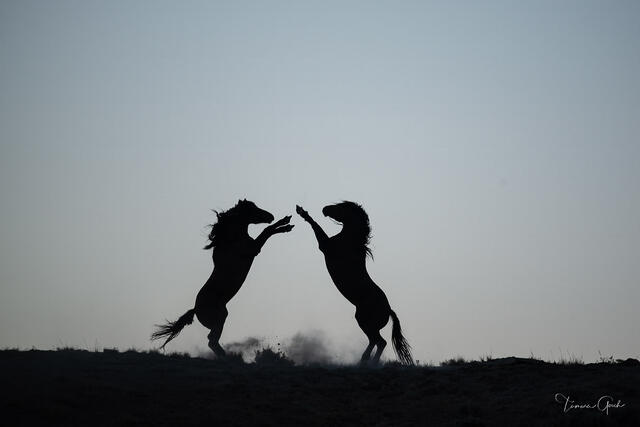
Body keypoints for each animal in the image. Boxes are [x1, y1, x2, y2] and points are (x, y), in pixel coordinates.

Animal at [151, 199, 294, 357]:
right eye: (252, 208)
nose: (271, 216)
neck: (231, 238)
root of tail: (195, 309)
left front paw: (286, 221)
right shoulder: (254, 248)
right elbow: (267, 231)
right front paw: (286, 226)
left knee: (212, 340)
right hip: (220, 318)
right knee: (211, 340)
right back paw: (228, 357)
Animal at [296, 201, 414, 365]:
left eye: (342, 207)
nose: (325, 209)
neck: (350, 240)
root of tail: (389, 310)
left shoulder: (325, 245)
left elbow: (316, 227)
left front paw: (302, 212)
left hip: (366, 322)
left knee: (380, 342)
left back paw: (369, 362)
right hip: (365, 323)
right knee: (375, 341)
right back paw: (364, 360)